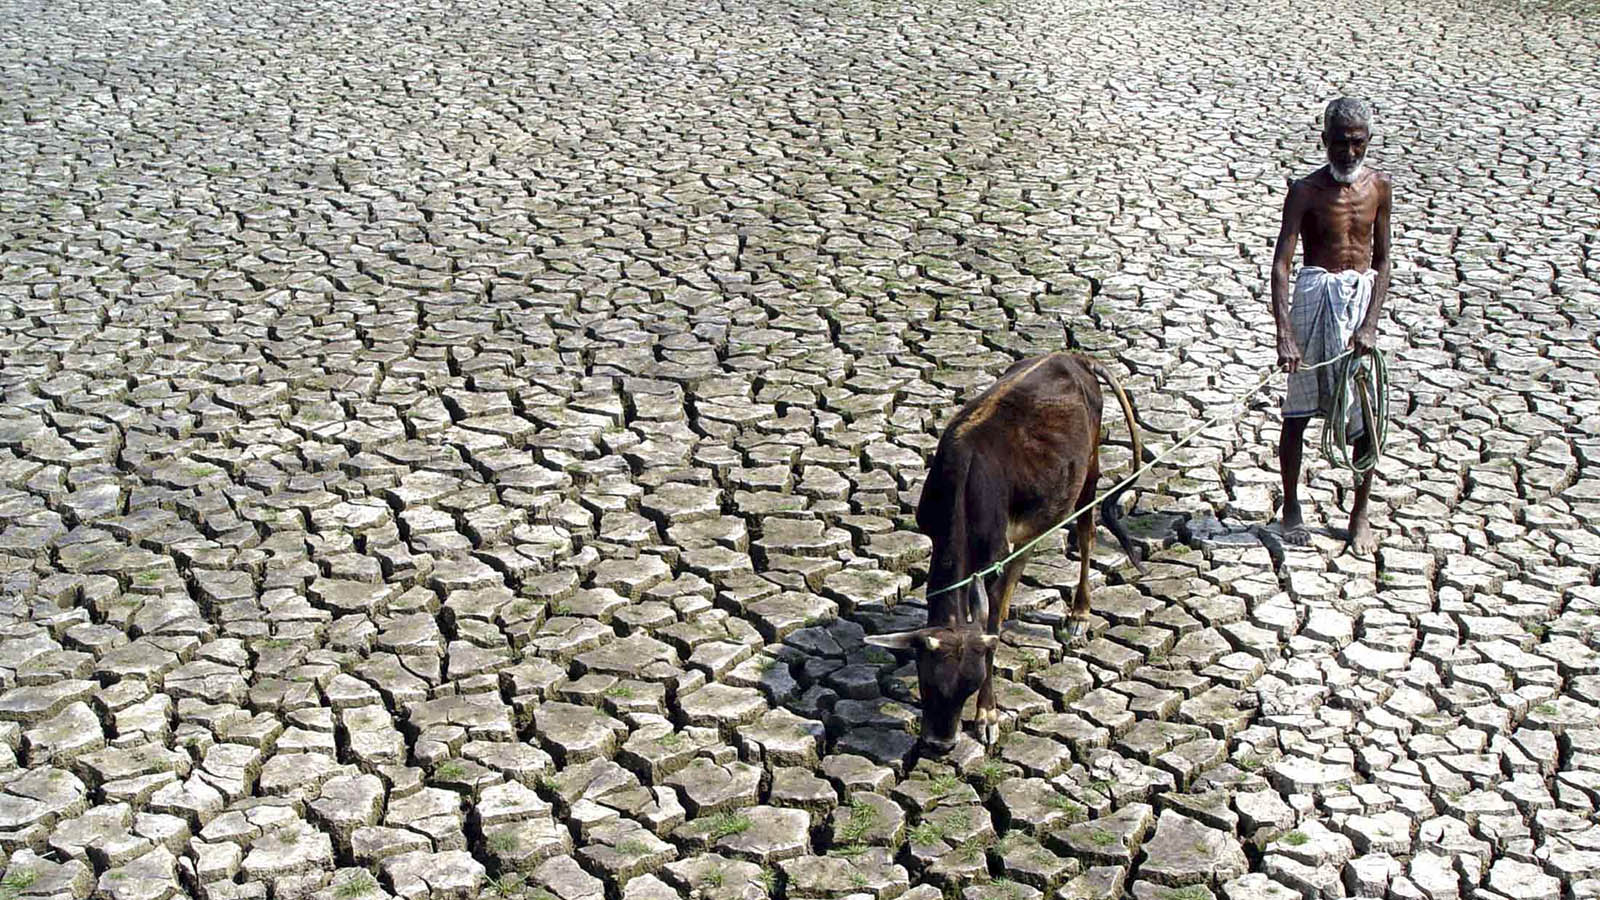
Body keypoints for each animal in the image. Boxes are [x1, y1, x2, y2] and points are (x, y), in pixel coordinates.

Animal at [870, 350, 1145, 749]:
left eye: (969, 688)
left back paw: (1079, 614)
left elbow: (992, 624)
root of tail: (1074, 357)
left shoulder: (994, 556)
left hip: (1089, 469)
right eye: (926, 682)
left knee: (1086, 532)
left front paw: (987, 716)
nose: (940, 745)